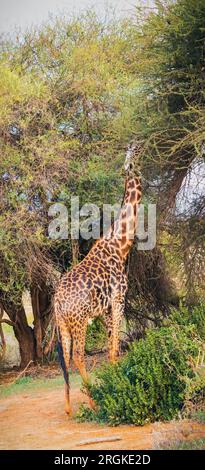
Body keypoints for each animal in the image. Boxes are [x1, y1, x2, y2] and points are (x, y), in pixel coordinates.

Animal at [53, 145, 142, 414]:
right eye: (134, 151)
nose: (141, 145)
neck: (121, 245)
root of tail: (57, 301)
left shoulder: (104, 310)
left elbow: (113, 349)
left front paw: (115, 380)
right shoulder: (119, 298)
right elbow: (114, 349)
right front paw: (119, 384)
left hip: (63, 324)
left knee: (67, 359)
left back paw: (69, 408)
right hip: (79, 322)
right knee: (79, 356)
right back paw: (93, 400)